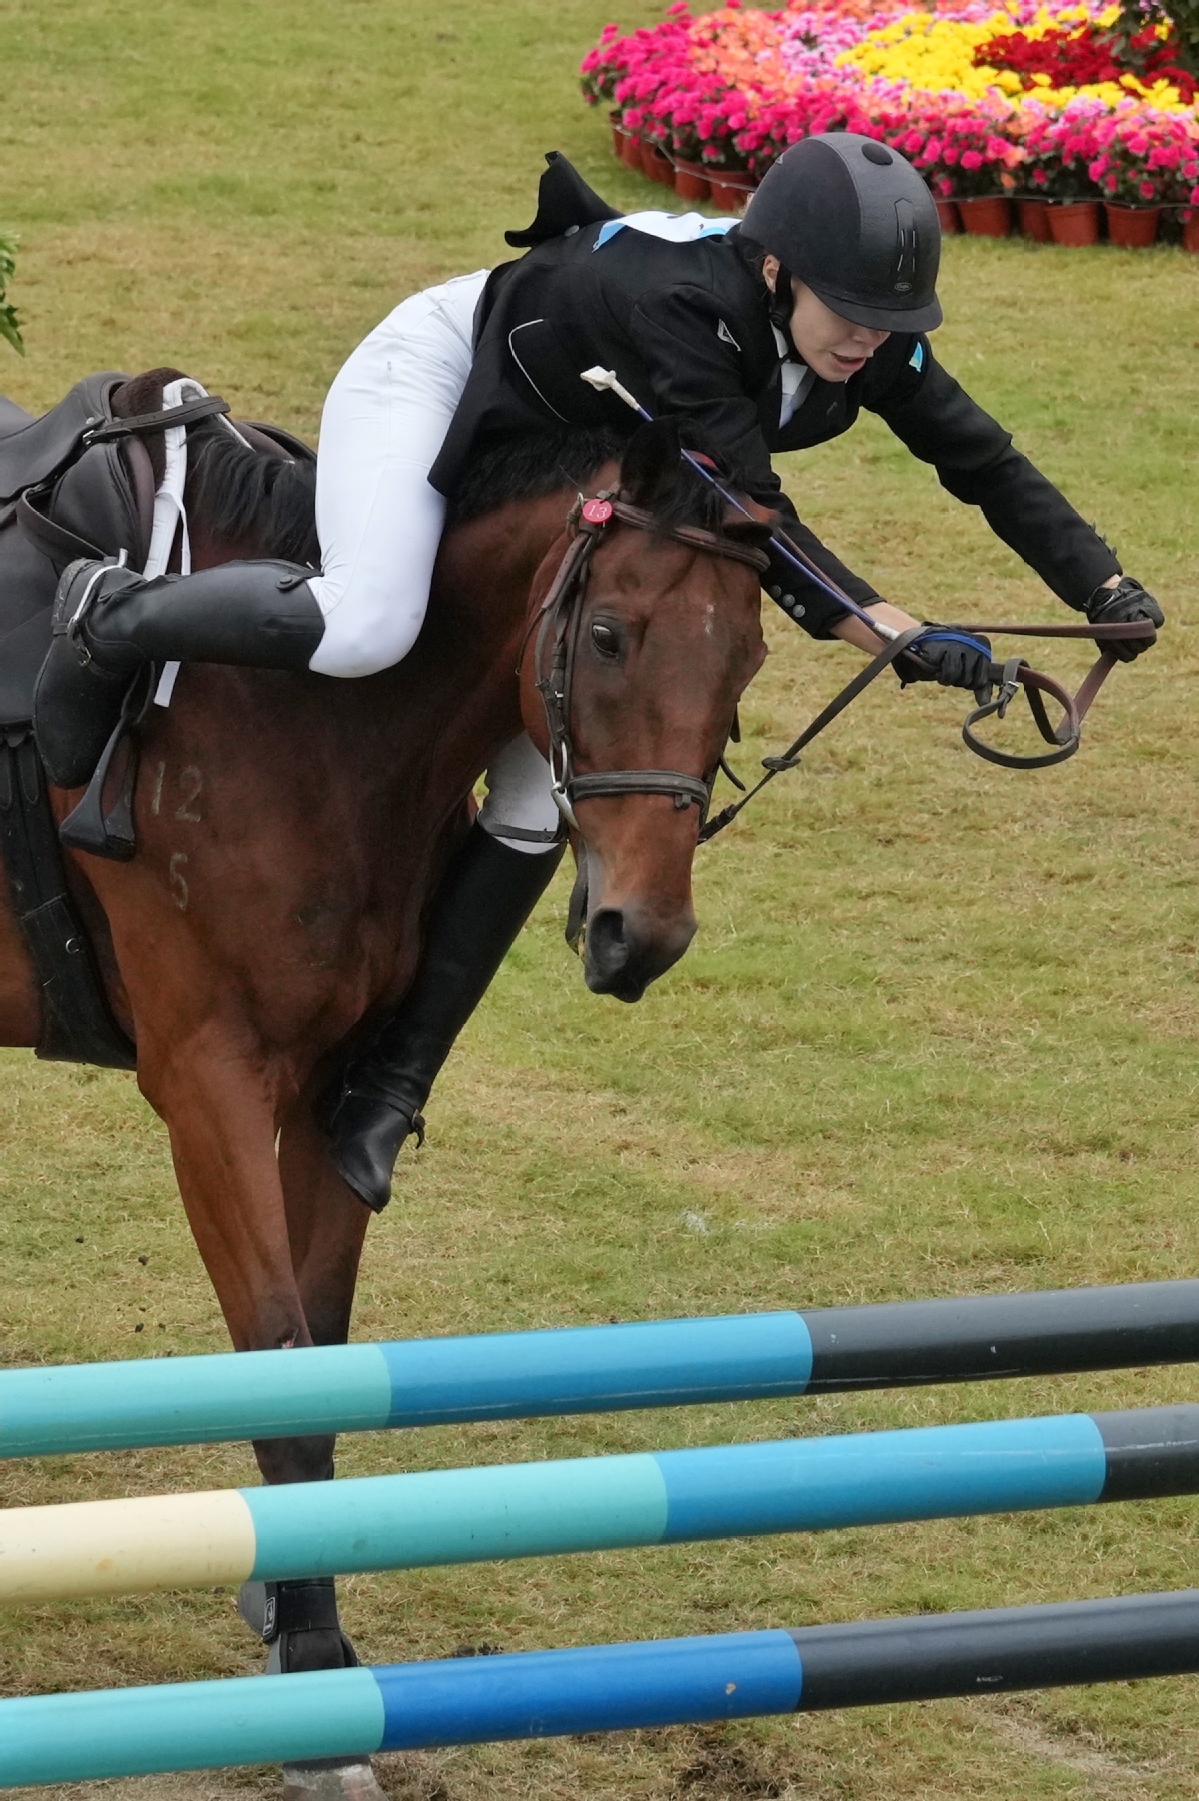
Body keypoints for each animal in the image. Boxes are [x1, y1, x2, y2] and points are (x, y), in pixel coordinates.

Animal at [0, 372, 766, 1793]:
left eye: (743, 663)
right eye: (612, 636)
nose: (642, 933)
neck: (309, 717)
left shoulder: (324, 1090)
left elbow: (325, 1350)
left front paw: (300, 1616)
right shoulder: (211, 1085)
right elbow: (283, 1359)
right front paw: (311, 1673)